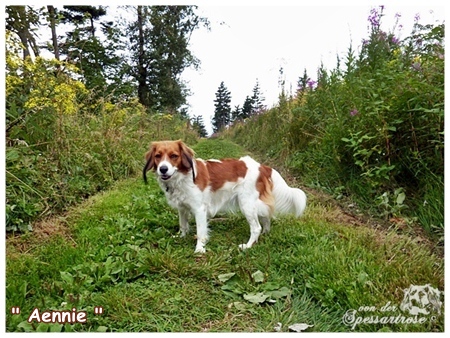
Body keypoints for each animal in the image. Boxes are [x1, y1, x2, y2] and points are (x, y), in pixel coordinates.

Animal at [142, 139, 308, 252]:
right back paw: (265, 235)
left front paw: (199, 249)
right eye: (158, 156)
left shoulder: (199, 209)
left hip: (246, 204)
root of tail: (263, 166)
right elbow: (183, 225)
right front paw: (181, 236)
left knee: (256, 227)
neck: (182, 176)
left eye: (174, 156)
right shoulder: (182, 208)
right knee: (266, 217)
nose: (163, 169)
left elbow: (200, 232)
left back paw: (248, 245)